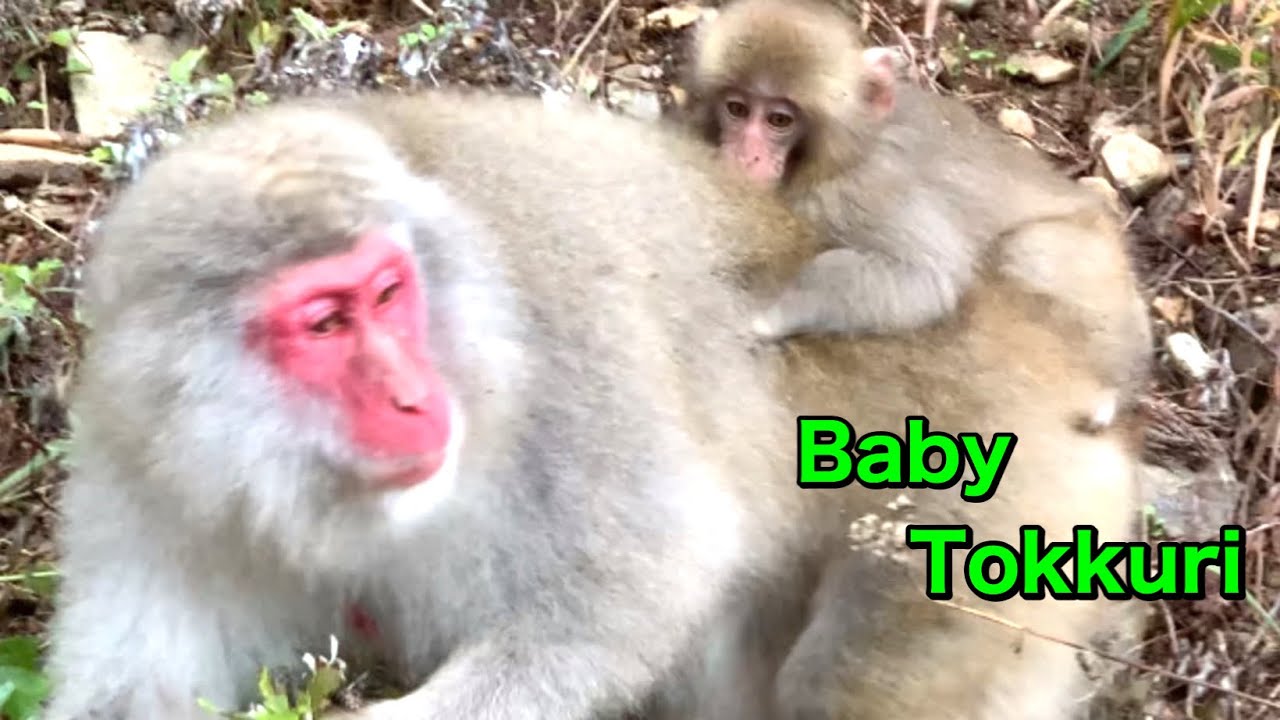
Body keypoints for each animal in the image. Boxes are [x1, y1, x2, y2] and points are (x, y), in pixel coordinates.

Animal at [684, 0, 1153, 433]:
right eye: (737, 109)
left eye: (779, 119)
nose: (747, 154)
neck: (837, 156)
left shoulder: (860, 193)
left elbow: (926, 279)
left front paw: (768, 316)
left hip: (1093, 262)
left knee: (1030, 252)